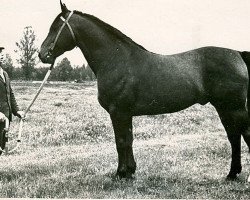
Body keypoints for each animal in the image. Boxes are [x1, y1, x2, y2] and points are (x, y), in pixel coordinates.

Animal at [38, 1, 250, 180]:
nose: (42, 54)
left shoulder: (118, 112)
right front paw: (130, 171)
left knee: (244, 133)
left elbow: (121, 141)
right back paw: (232, 174)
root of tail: (237, 54)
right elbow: (129, 139)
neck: (116, 59)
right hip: (223, 108)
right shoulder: (125, 114)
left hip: (234, 108)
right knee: (234, 137)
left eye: (56, 27)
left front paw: (121, 174)